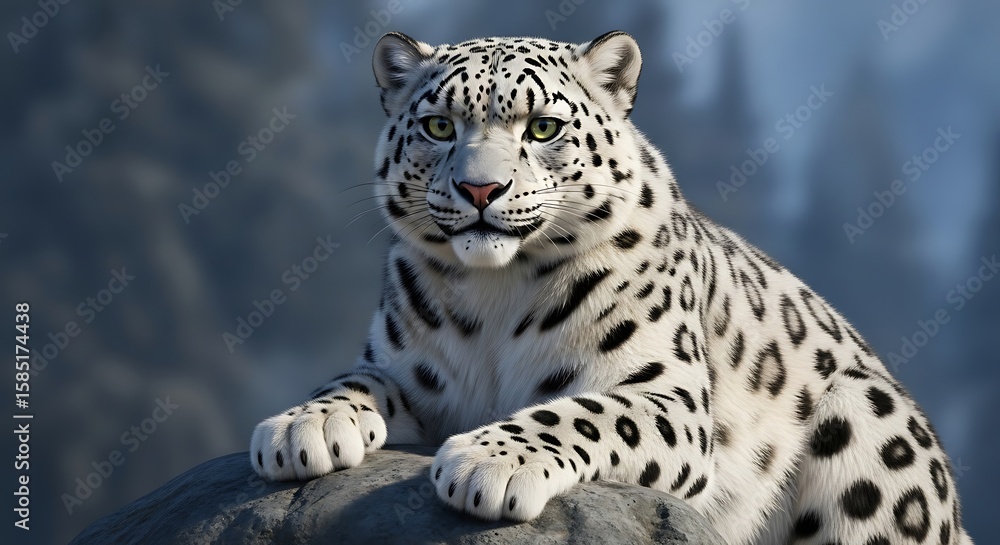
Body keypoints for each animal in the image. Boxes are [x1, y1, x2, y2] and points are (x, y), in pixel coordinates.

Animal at [250, 31, 973, 544]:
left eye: (543, 127)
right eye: (439, 126)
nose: (481, 189)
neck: (493, 295)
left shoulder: (667, 391)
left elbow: (586, 410)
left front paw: (487, 461)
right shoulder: (408, 375)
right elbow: (353, 380)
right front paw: (299, 428)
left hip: (867, 419)